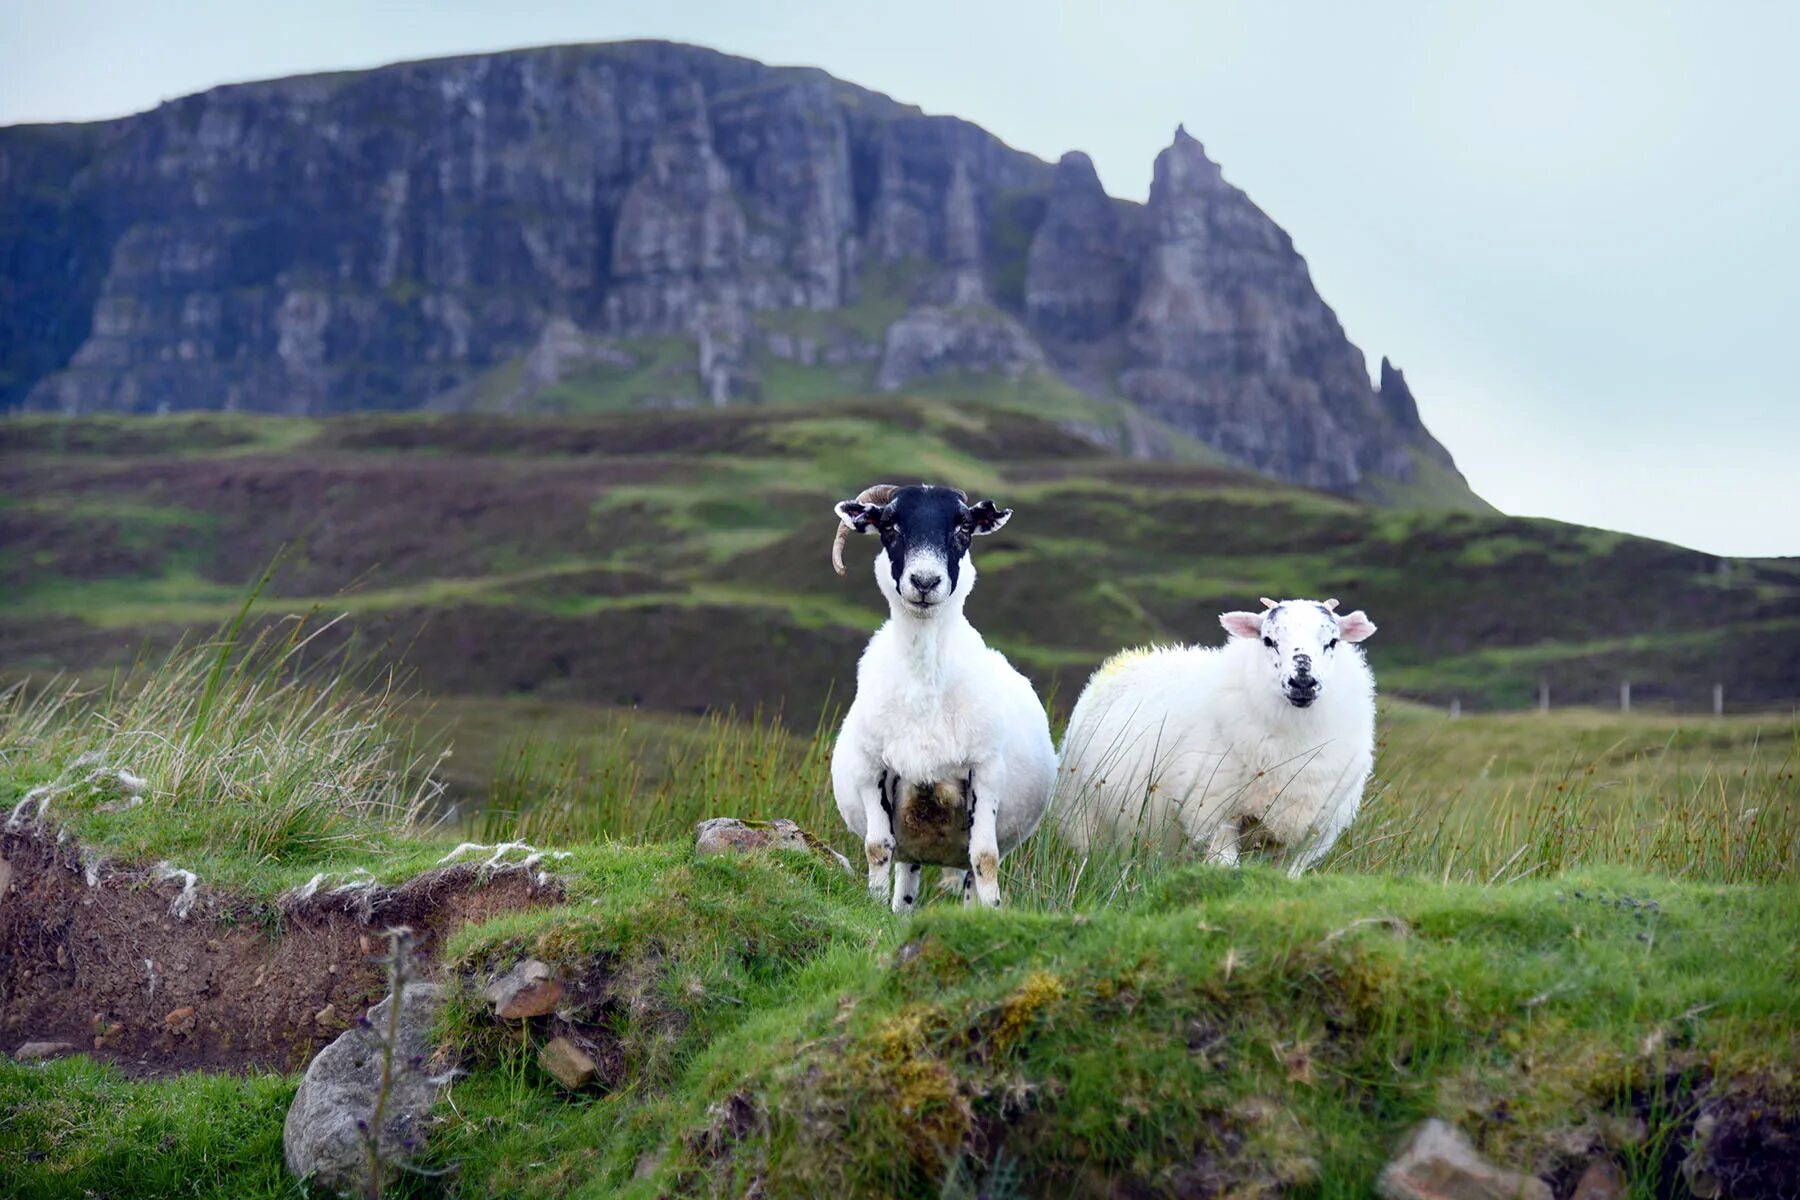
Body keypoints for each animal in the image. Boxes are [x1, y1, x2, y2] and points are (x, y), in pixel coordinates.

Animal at [824, 482, 1058, 910]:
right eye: (890, 526)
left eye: (964, 528)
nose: (924, 581)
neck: (924, 690)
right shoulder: (870, 770)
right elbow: (877, 847)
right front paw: (874, 908)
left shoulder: (986, 771)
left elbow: (985, 857)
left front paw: (992, 911)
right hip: (912, 837)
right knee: (905, 868)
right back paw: (899, 912)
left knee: (968, 869)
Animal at [1051, 597, 1375, 874]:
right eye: (1268, 640)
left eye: (1332, 641)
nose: (1303, 682)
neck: (1294, 743)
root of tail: (1129, 658)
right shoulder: (1215, 815)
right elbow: (1225, 869)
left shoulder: (1311, 835)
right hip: (1082, 817)